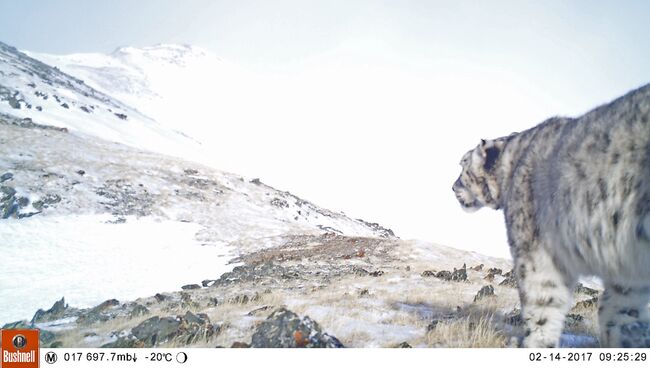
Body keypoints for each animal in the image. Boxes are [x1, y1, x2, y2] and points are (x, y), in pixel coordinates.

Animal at [450, 84, 648, 348]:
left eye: (463, 165)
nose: (452, 187)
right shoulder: (627, 273)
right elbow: (619, 312)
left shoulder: (536, 253)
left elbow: (541, 308)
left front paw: (536, 343)